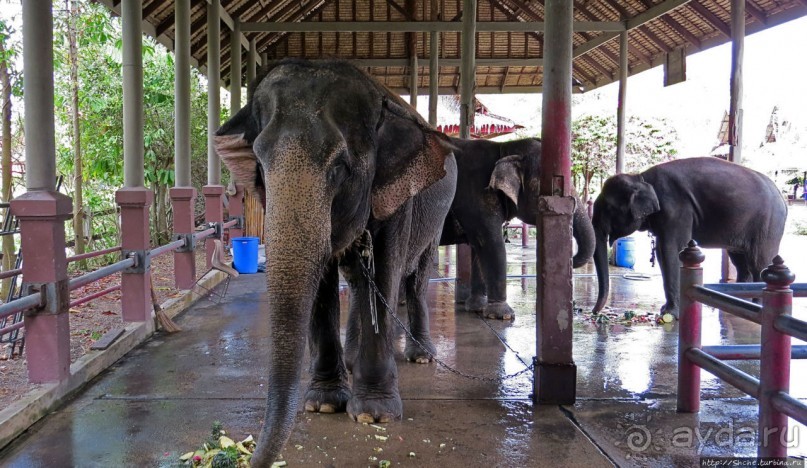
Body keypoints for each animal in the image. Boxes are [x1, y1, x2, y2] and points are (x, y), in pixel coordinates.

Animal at [215, 59, 458, 468]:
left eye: (341, 168)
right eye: (260, 165)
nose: (243, 457)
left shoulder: (397, 194)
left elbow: (386, 269)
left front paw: (374, 415)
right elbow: (324, 280)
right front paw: (324, 405)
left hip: (436, 218)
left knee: (415, 276)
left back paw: (420, 357)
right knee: (360, 282)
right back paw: (352, 363)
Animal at [592, 157, 784, 318]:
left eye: (608, 208)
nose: (594, 312)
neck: (641, 177)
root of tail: (780, 194)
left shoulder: (676, 209)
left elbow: (671, 250)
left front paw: (669, 314)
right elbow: (662, 252)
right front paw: (665, 311)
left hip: (768, 224)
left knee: (759, 263)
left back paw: (757, 306)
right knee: (741, 263)